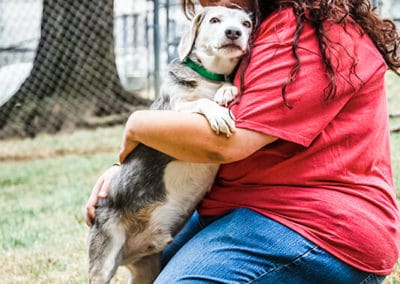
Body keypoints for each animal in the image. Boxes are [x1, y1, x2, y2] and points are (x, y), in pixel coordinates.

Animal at [88, 6, 252, 284]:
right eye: (214, 19)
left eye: (247, 23)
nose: (234, 32)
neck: (209, 78)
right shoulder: (174, 109)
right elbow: (202, 102)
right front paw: (218, 112)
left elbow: (223, 88)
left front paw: (227, 90)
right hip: (103, 261)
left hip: (147, 269)